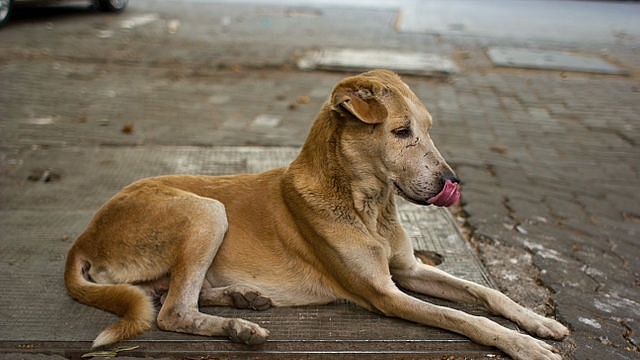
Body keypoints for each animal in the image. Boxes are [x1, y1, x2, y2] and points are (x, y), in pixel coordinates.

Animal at [63, 70, 564, 360]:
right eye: (401, 131)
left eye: (428, 129)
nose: (451, 182)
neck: (368, 206)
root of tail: (84, 237)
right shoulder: (385, 294)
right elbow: (466, 318)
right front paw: (523, 344)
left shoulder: (408, 269)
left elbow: (486, 294)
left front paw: (536, 322)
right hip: (206, 211)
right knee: (171, 312)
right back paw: (240, 327)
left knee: (170, 294)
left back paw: (242, 298)